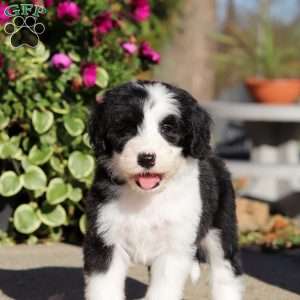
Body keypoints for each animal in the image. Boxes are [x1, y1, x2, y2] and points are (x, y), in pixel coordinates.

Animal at [83, 80, 243, 300]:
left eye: (168, 128)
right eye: (126, 129)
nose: (146, 158)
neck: (146, 197)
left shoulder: (174, 248)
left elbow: (164, 289)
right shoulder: (104, 238)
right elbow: (104, 288)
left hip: (221, 227)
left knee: (226, 271)